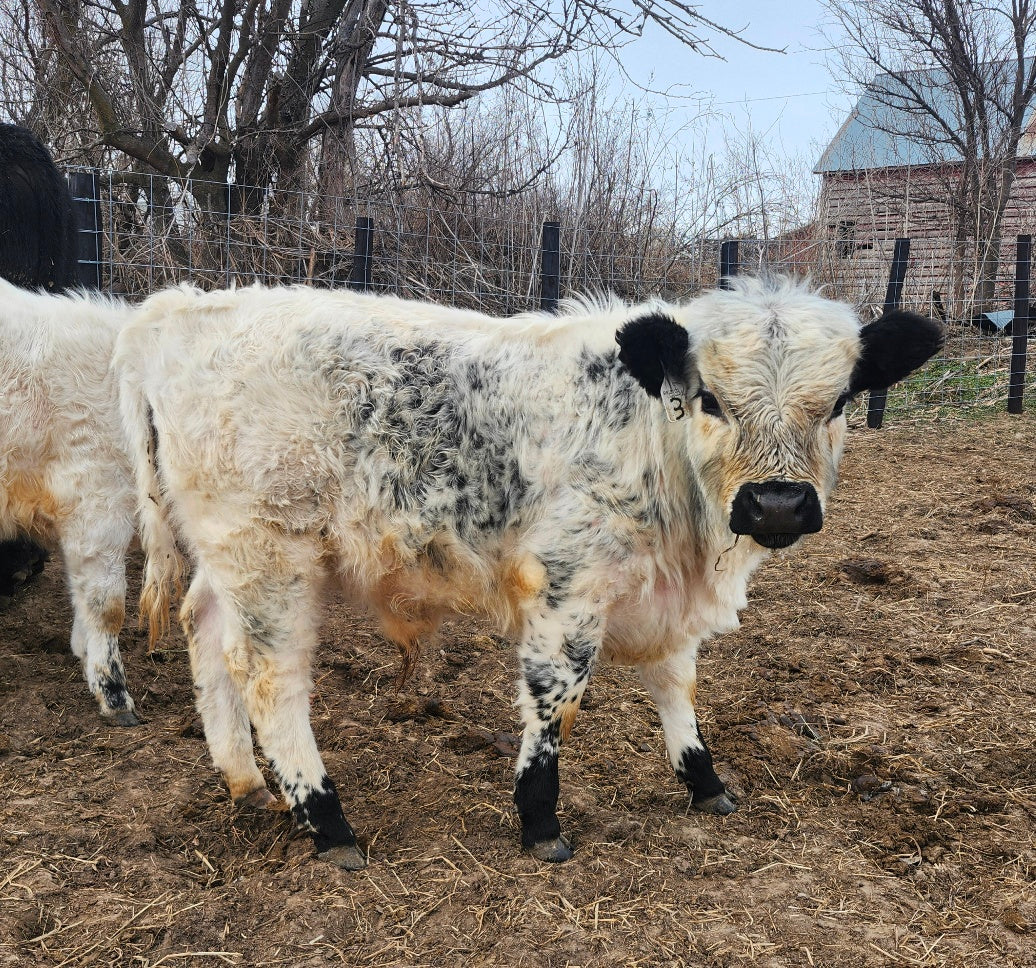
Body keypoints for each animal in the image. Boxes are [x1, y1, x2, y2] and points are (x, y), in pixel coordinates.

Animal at [116, 275, 942, 867]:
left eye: (839, 401)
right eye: (709, 398)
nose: (776, 503)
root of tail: (179, 308)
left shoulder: (664, 596)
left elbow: (675, 683)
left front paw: (703, 779)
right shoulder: (568, 585)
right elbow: (556, 698)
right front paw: (540, 818)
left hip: (227, 557)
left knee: (204, 631)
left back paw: (246, 781)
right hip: (270, 553)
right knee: (268, 677)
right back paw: (326, 819)